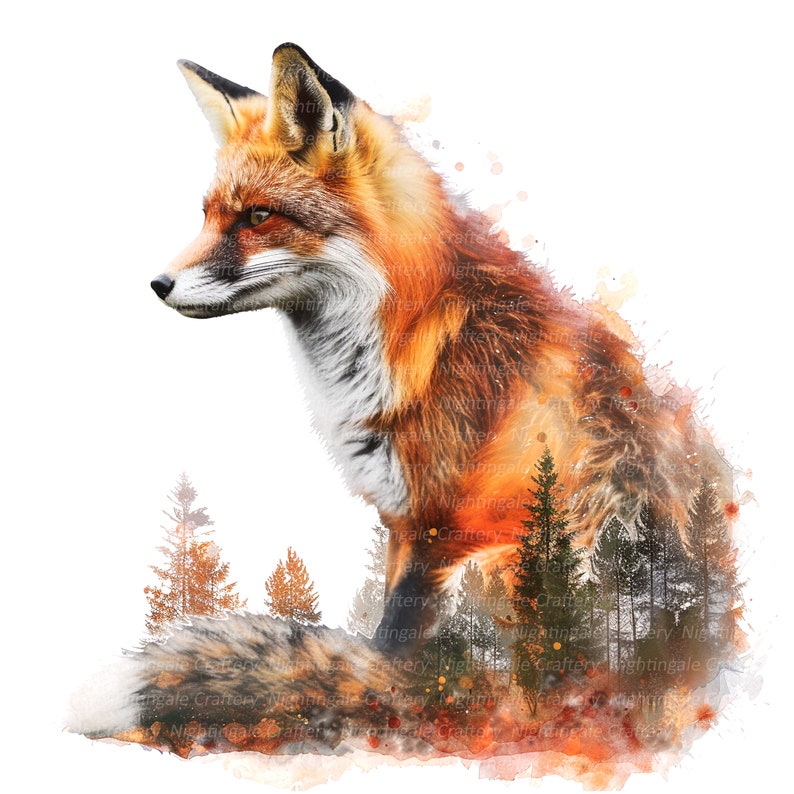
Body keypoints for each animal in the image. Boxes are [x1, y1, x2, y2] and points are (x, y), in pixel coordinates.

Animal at [71, 43, 733, 748]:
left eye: (258, 217)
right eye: (208, 215)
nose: (158, 284)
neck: (414, 329)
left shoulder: (439, 524)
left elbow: (391, 648)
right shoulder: (399, 518)